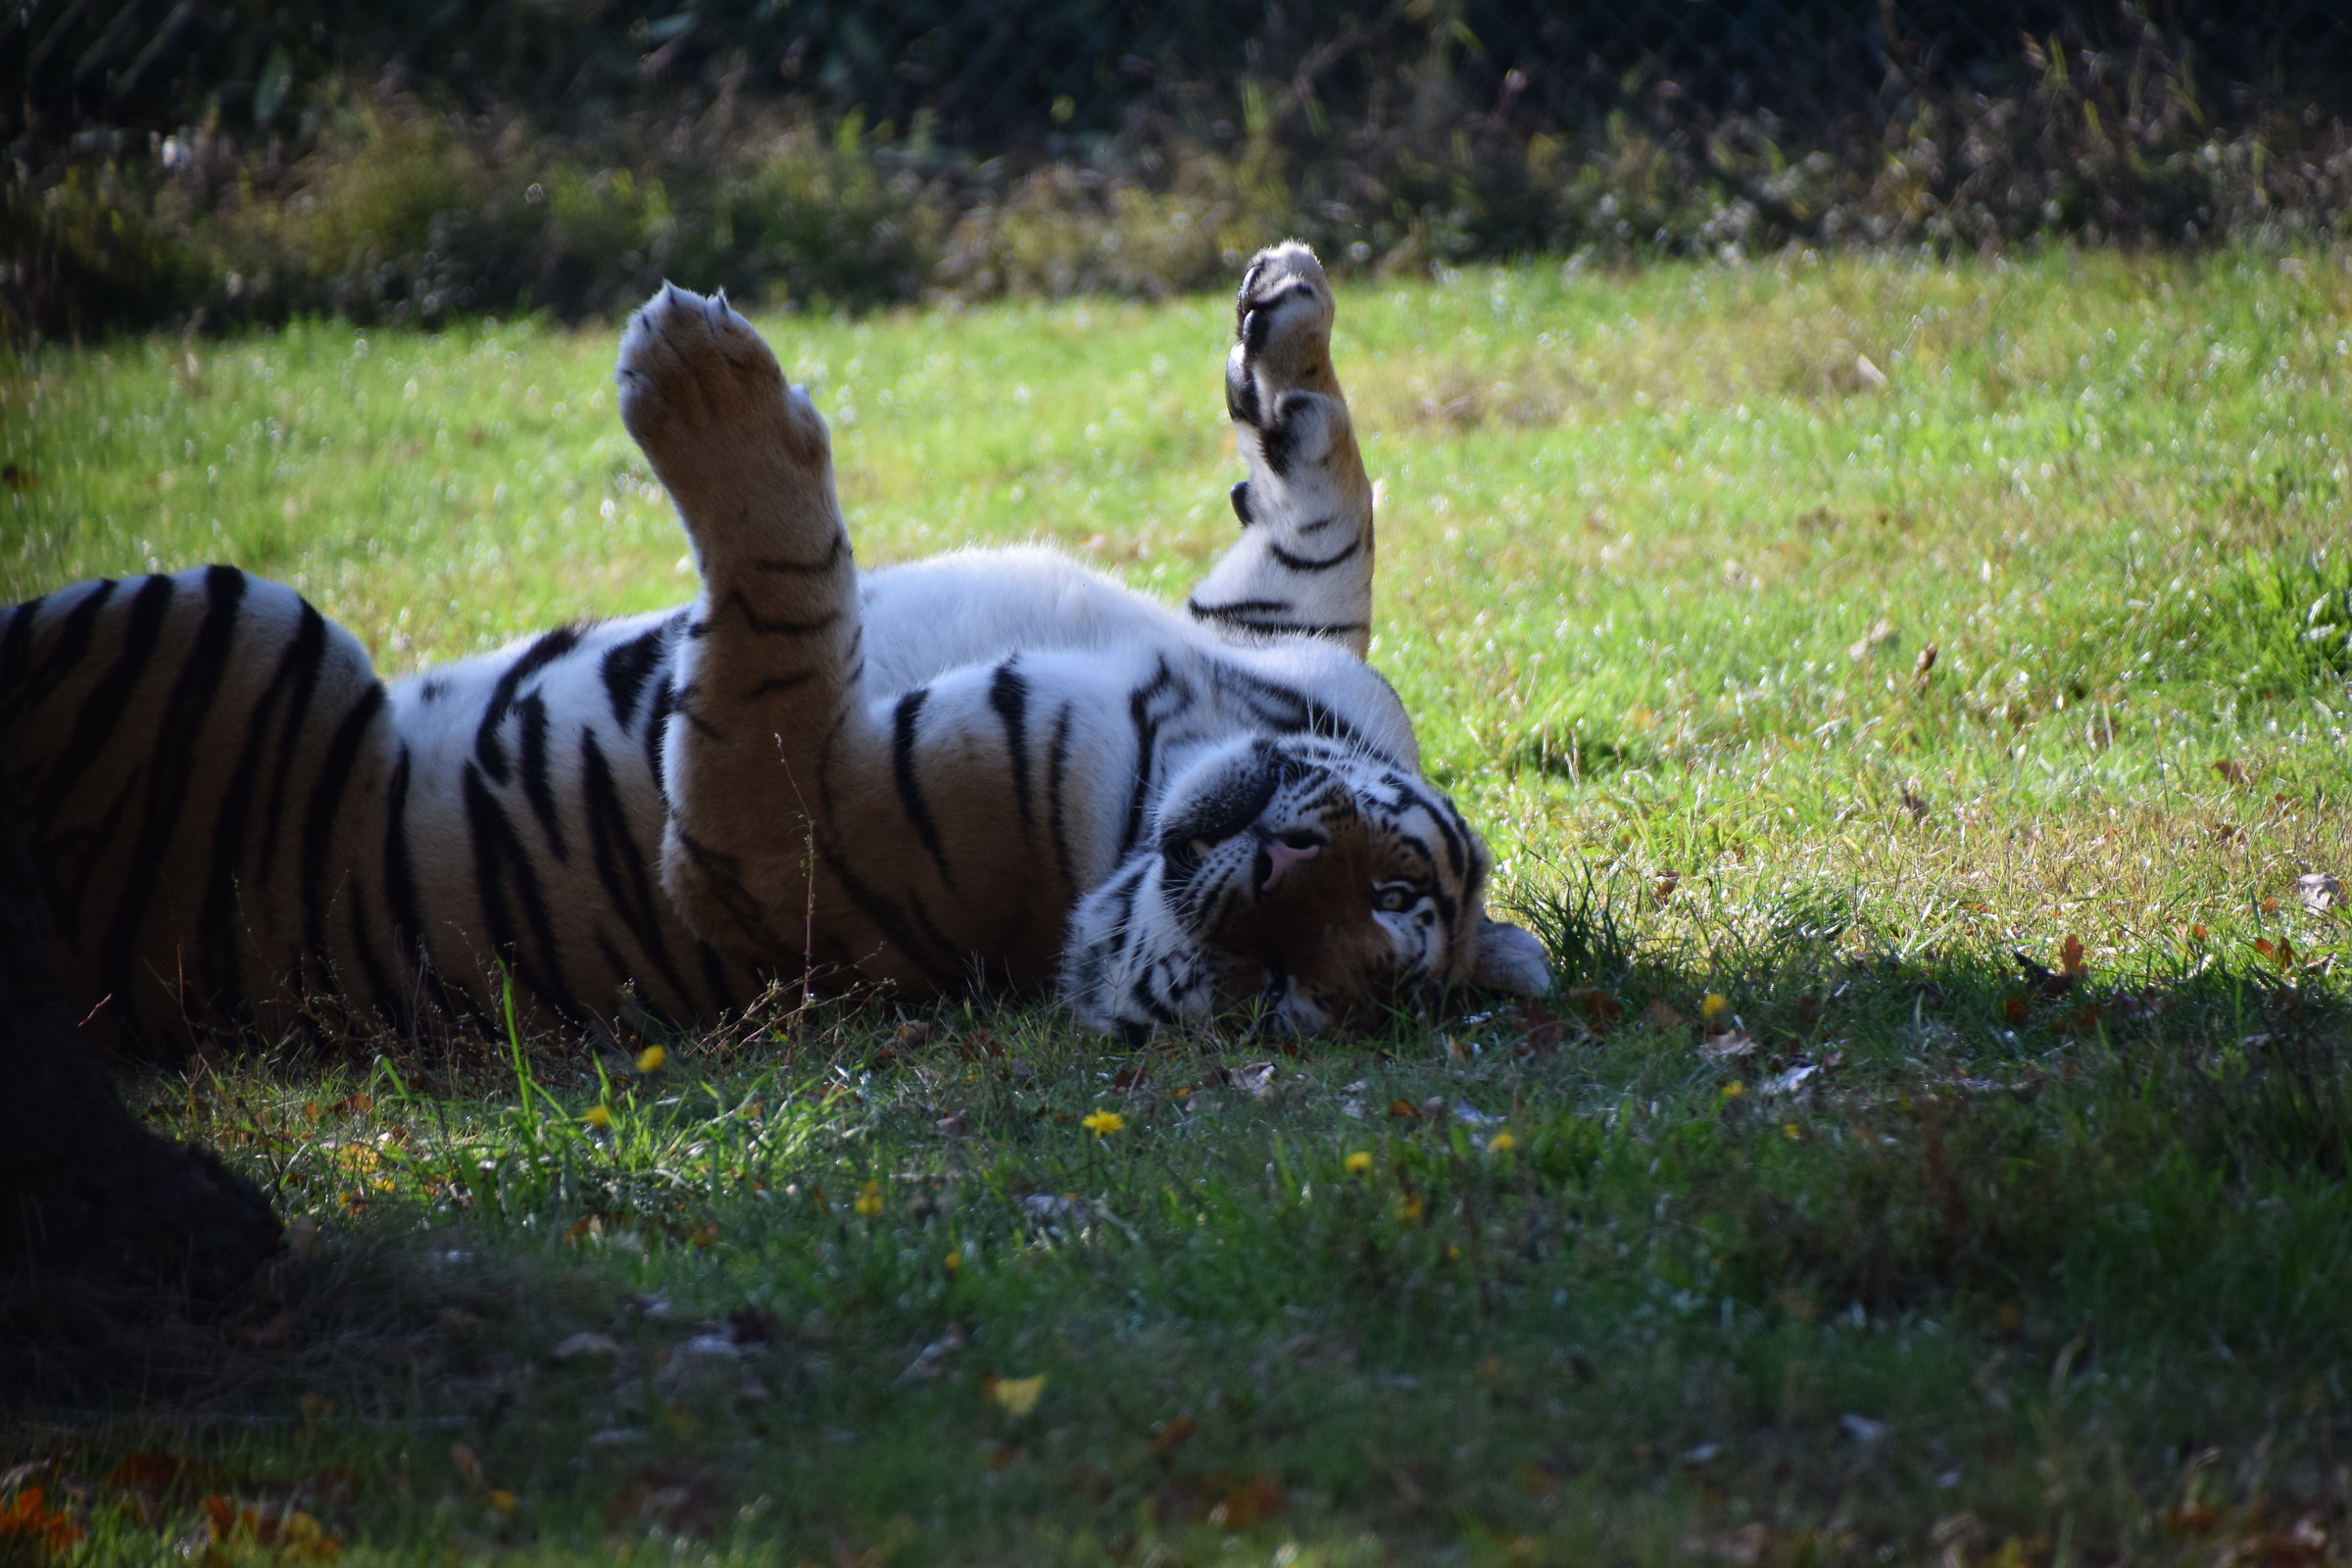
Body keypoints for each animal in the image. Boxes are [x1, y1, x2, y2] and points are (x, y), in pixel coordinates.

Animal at [0, 242, 1552, 1061]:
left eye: (1283, 997)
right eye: (1400, 881)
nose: (1283, 870)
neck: (1188, 724)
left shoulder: (765, 846)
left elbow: (782, 616)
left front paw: (697, 384)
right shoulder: (1299, 650)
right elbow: (1328, 519)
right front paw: (1285, 324)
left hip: (238, 627)